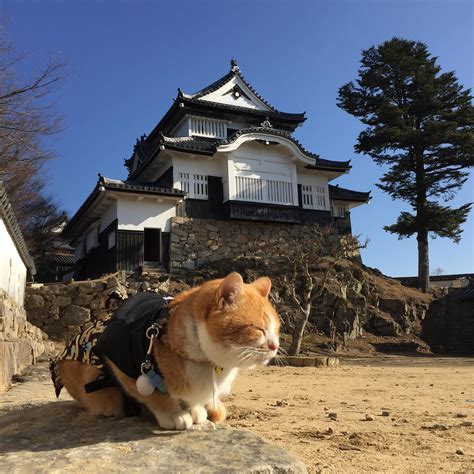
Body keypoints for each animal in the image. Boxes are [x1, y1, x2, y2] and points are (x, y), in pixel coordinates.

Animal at [57, 270, 280, 430]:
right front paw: (175, 414)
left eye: (276, 329)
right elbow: (156, 395)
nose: (275, 345)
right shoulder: (124, 364)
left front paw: (196, 410)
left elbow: (190, 398)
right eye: (258, 329)